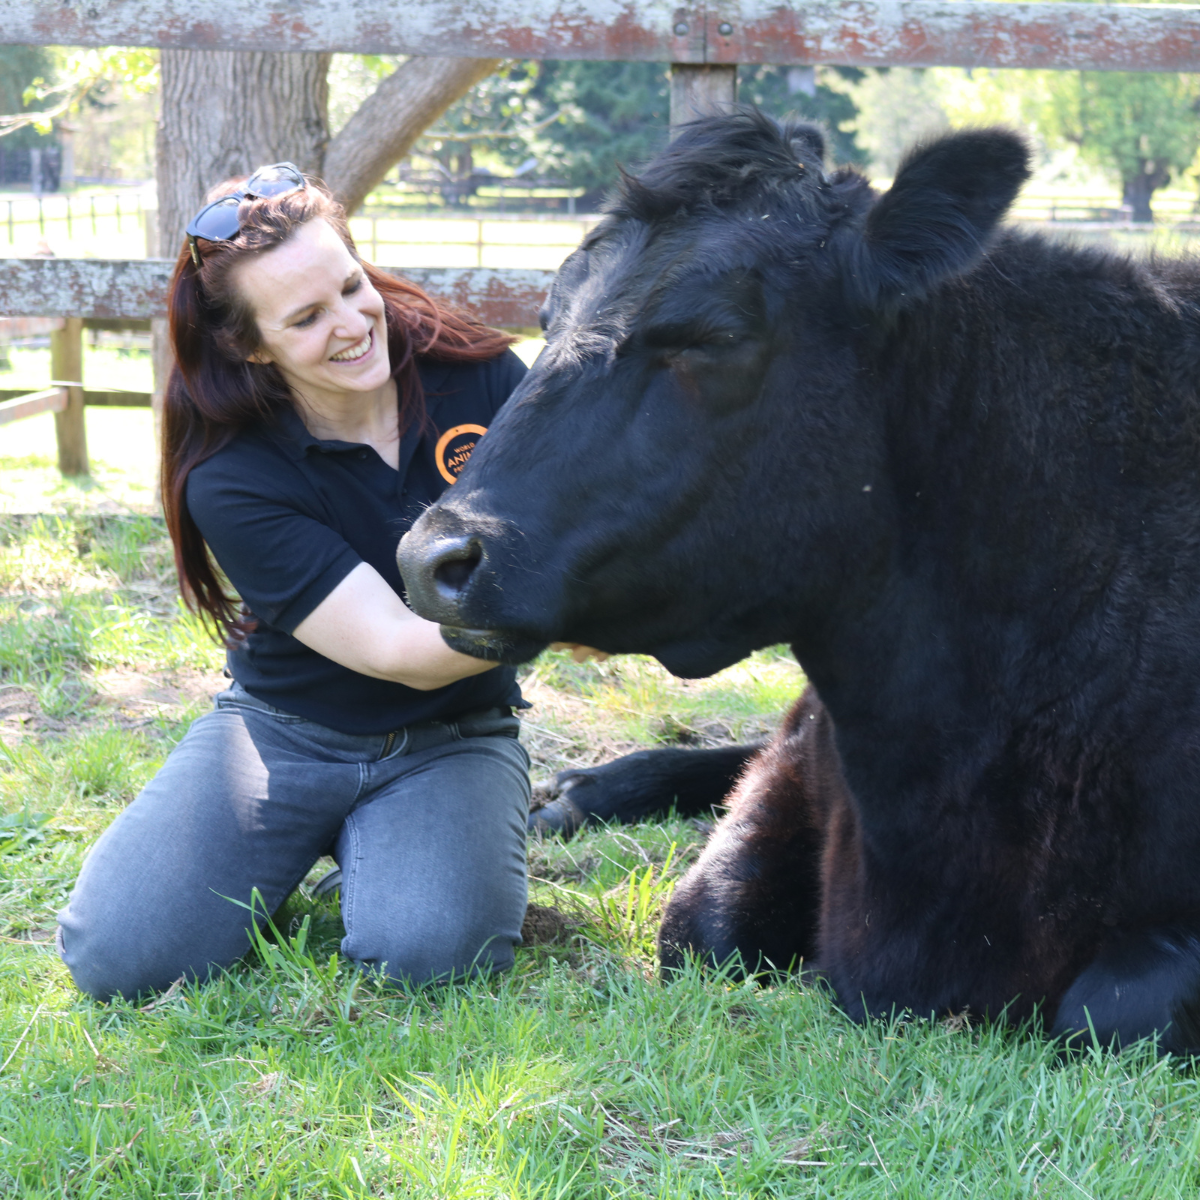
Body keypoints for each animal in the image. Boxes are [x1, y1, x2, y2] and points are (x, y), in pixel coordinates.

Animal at [400, 110, 1200, 1051]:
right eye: (546, 316)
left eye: (713, 336)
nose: (432, 558)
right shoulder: (804, 764)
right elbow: (698, 922)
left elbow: (1113, 1005)